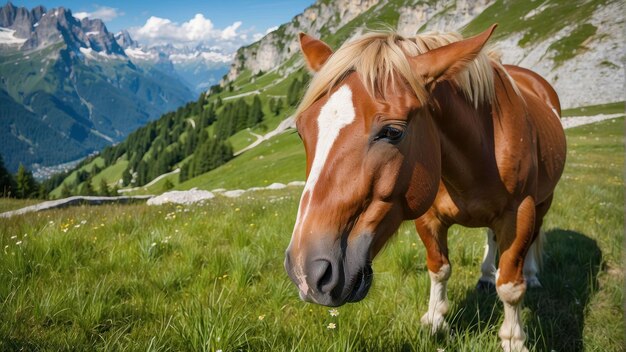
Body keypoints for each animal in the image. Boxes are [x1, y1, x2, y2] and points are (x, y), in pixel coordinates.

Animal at [282, 23, 564, 350]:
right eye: (300, 131)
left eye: (393, 132)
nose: (305, 272)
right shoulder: (428, 217)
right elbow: (439, 268)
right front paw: (435, 319)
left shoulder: (518, 214)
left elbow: (509, 285)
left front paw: (513, 338)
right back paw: (484, 276)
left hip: (542, 202)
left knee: (534, 237)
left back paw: (531, 274)